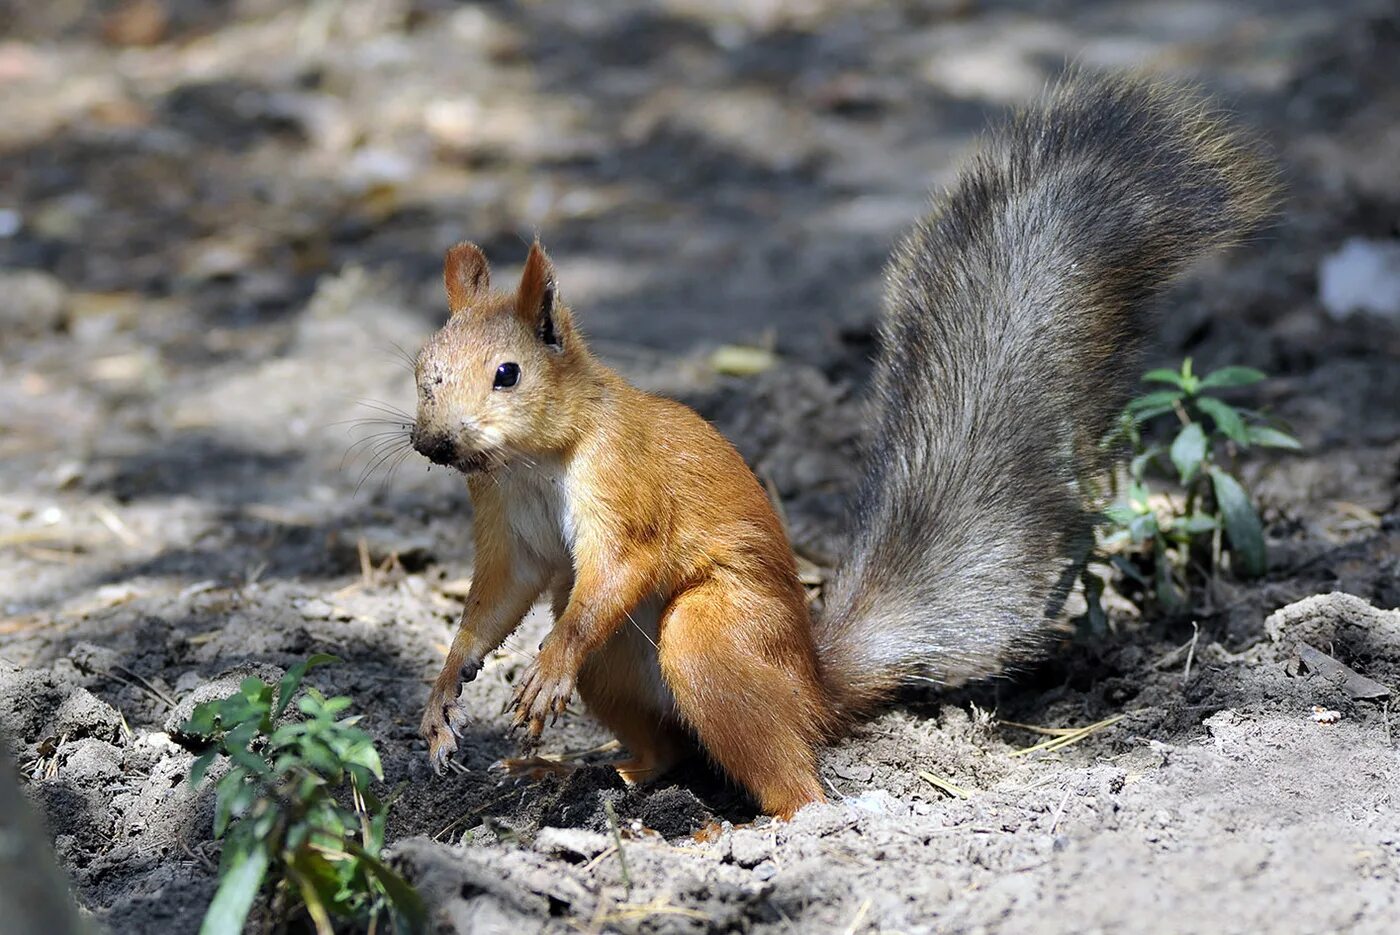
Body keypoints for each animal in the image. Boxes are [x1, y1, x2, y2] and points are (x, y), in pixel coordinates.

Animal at [408, 74, 1276, 817]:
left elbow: (619, 565)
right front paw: (445, 692)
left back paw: (762, 824)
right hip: (624, 665)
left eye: (509, 373)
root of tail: (816, 688)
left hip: (711, 635)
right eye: (423, 369)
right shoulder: (506, 524)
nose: (433, 442)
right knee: (666, 752)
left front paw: (547, 666)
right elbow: (496, 598)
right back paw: (582, 770)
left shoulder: (625, 481)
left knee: (789, 776)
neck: (532, 460)